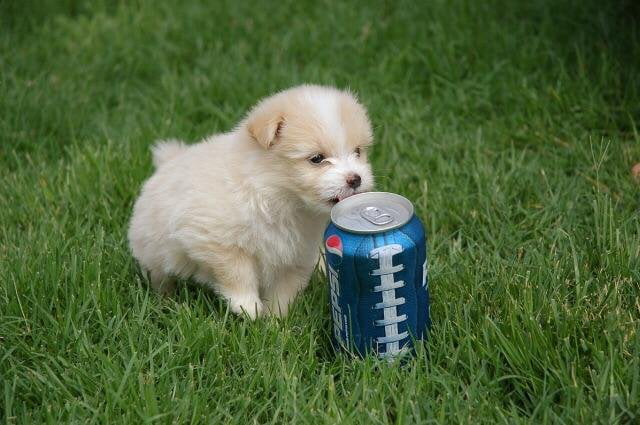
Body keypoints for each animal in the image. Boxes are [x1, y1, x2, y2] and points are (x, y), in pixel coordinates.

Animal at [127, 84, 372, 318]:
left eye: (357, 151)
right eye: (317, 159)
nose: (355, 178)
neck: (274, 193)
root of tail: (169, 161)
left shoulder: (295, 257)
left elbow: (284, 292)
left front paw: (275, 322)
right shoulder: (214, 237)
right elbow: (236, 271)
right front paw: (248, 307)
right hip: (153, 250)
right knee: (160, 275)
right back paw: (165, 300)